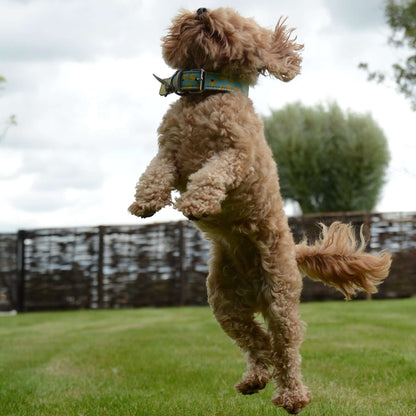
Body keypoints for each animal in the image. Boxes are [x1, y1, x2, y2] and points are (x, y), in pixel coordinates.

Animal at [128, 7, 392, 412]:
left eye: (231, 18)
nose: (202, 10)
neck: (206, 94)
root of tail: (294, 253)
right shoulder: (169, 153)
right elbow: (154, 172)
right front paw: (145, 201)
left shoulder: (238, 156)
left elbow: (212, 173)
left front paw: (196, 202)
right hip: (224, 302)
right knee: (256, 342)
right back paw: (254, 378)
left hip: (280, 299)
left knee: (286, 350)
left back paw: (293, 396)